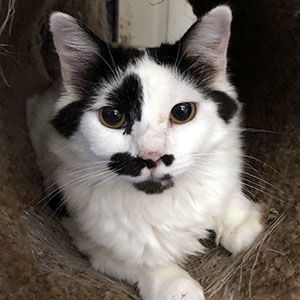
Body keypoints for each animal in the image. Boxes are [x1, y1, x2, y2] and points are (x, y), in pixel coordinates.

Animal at [27, 5, 262, 300]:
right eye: (112, 117)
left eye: (182, 112)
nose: (152, 155)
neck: (165, 202)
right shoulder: (82, 229)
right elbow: (140, 260)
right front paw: (178, 287)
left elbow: (235, 216)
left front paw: (242, 225)